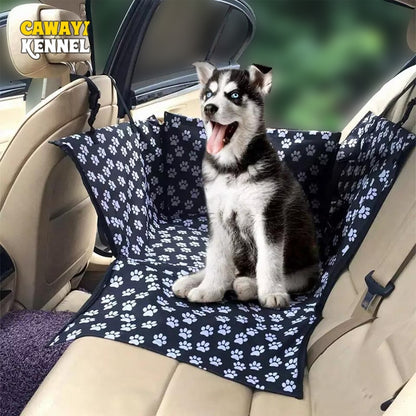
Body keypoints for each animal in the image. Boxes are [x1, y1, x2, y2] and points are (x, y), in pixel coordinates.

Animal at [172, 62, 318, 308]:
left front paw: (272, 293)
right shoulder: (217, 216)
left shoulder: (268, 214)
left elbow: (269, 260)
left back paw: (248, 285)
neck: (232, 168)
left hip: (306, 268)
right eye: (209, 94)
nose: (208, 108)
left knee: (287, 277)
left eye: (234, 95)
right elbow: (216, 258)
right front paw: (209, 289)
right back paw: (192, 281)